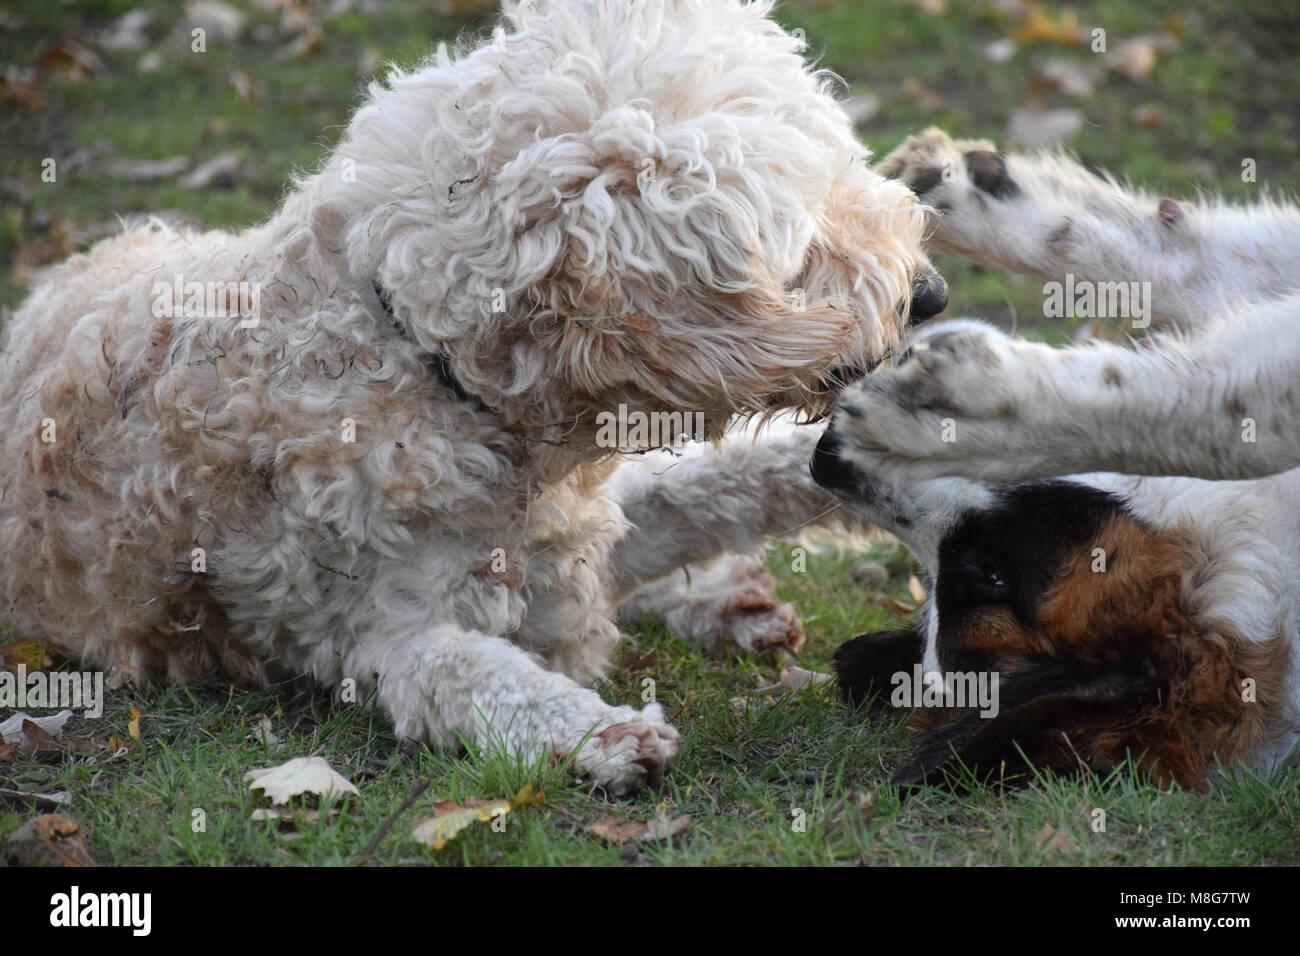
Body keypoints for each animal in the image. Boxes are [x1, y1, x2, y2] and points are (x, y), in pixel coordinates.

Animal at [0, 0, 935, 790]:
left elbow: (717, 484)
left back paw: (733, 602)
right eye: (800, 248)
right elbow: (472, 676)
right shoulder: (385, 635)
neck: (431, 369)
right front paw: (603, 734)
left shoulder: (575, 528)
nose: (929, 295)